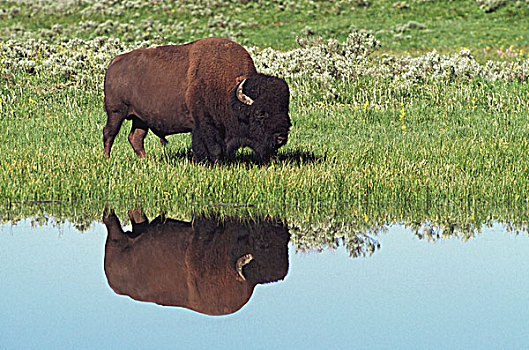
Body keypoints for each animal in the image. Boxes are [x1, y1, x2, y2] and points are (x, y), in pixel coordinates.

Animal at [101, 209, 290, 316]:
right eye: (261, 243)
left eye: (286, 240)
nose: (280, 224)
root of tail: (112, 282)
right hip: (116, 237)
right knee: (109, 220)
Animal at [103, 37, 290, 163]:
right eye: (260, 113)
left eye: (285, 110)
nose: (281, 137)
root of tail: (114, 62)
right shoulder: (205, 126)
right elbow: (213, 148)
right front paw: (214, 164)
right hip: (116, 113)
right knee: (109, 133)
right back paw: (107, 159)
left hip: (140, 119)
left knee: (135, 138)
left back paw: (146, 160)